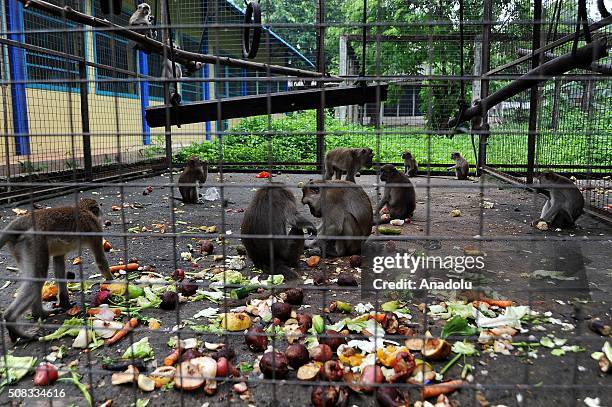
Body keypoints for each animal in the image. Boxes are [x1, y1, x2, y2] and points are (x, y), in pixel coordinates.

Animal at [0, 199, 112, 342]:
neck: (84, 210)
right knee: (38, 277)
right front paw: (113, 280)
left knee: (35, 277)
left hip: (19, 247)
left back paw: (39, 313)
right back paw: (12, 320)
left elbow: (58, 262)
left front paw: (65, 302)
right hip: (34, 242)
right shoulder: (95, 227)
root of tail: (24, 221)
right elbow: (100, 260)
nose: (101, 214)